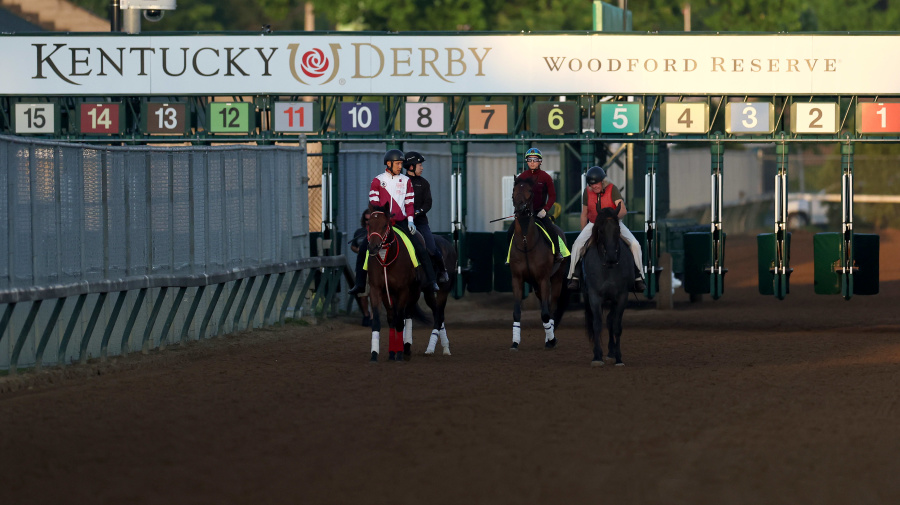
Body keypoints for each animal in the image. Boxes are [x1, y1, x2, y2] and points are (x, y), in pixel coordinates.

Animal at [506, 179, 568, 348]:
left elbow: (546, 314)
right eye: (513, 190)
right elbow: (516, 312)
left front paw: (551, 340)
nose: (519, 207)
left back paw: (550, 337)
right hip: (535, 284)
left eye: (530, 191)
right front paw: (515, 342)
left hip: (557, 279)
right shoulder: (517, 279)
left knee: (552, 307)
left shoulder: (544, 279)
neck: (526, 242)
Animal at [580, 203, 636, 364]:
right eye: (600, 230)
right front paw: (597, 357)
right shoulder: (594, 296)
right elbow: (597, 324)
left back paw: (611, 351)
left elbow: (616, 326)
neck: (609, 267)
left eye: (618, 229)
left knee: (611, 320)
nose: (611, 256)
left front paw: (618, 358)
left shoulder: (622, 296)